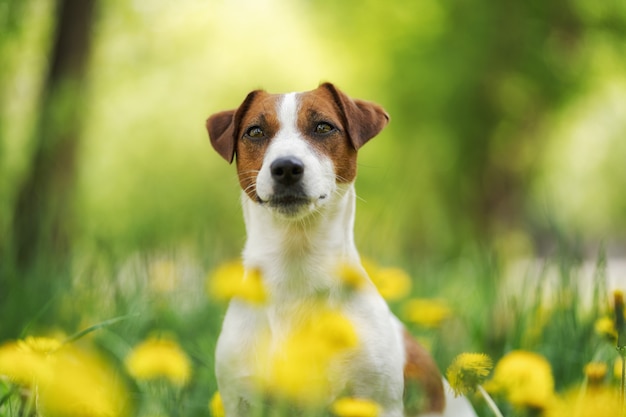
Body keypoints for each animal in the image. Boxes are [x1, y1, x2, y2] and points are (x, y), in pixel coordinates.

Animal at [205, 83, 472, 414]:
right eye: (255, 132)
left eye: (323, 127)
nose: (286, 167)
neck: (296, 270)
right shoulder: (242, 398)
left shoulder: (377, 400)